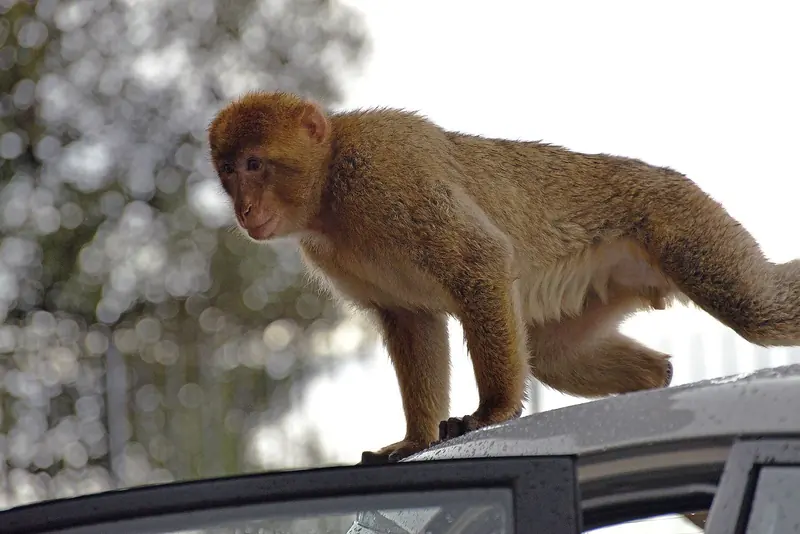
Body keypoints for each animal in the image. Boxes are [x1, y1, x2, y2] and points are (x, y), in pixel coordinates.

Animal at [207, 90, 800, 465]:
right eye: (230, 171)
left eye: (256, 164)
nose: (243, 208)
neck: (330, 187)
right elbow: (411, 322)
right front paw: (414, 438)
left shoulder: (388, 176)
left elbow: (481, 261)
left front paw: (491, 411)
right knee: (556, 353)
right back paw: (655, 379)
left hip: (681, 218)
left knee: (759, 310)